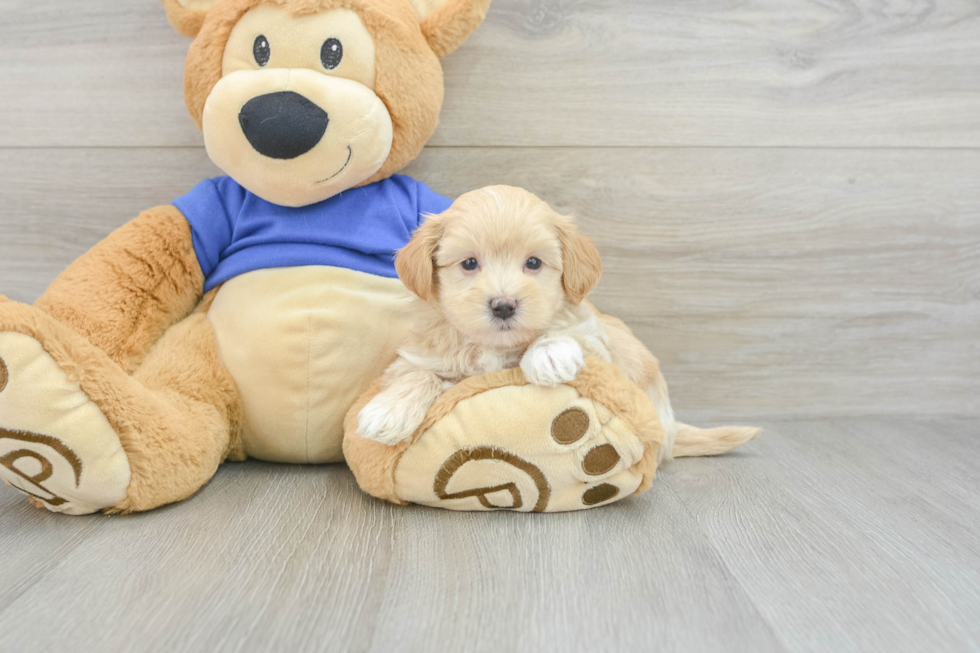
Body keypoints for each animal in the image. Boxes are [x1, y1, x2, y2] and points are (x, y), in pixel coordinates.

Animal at [356, 182, 676, 458]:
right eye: (469, 263)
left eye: (533, 262)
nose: (503, 306)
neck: (493, 347)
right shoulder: (417, 356)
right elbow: (418, 373)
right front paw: (387, 411)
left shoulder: (598, 342)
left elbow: (567, 332)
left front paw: (549, 354)